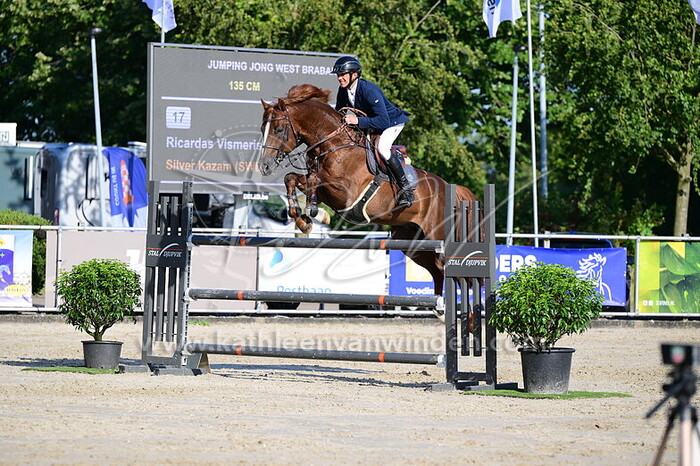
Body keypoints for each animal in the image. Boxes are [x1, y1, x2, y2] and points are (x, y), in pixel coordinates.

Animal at [259, 84, 477, 298]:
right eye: (263, 129)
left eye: (279, 129)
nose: (264, 166)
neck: (334, 145)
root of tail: (449, 188)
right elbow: (291, 178)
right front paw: (303, 219)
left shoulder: (345, 193)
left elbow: (314, 180)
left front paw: (315, 214)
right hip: (413, 242)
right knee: (437, 271)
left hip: (436, 236)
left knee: (453, 271)